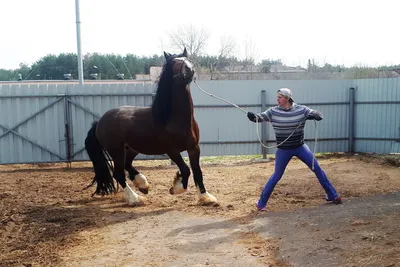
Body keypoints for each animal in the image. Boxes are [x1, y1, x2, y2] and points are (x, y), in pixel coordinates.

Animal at [82, 48, 217, 207]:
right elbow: (185, 170)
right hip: (116, 150)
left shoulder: (194, 148)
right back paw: (135, 198)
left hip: (131, 149)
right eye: (174, 63)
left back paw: (142, 185)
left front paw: (205, 197)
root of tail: (99, 122)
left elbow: (197, 172)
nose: (189, 70)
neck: (173, 118)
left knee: (127, 165)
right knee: (119, 173)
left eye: (188, 60)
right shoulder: (172, 151)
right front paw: (176, 187)